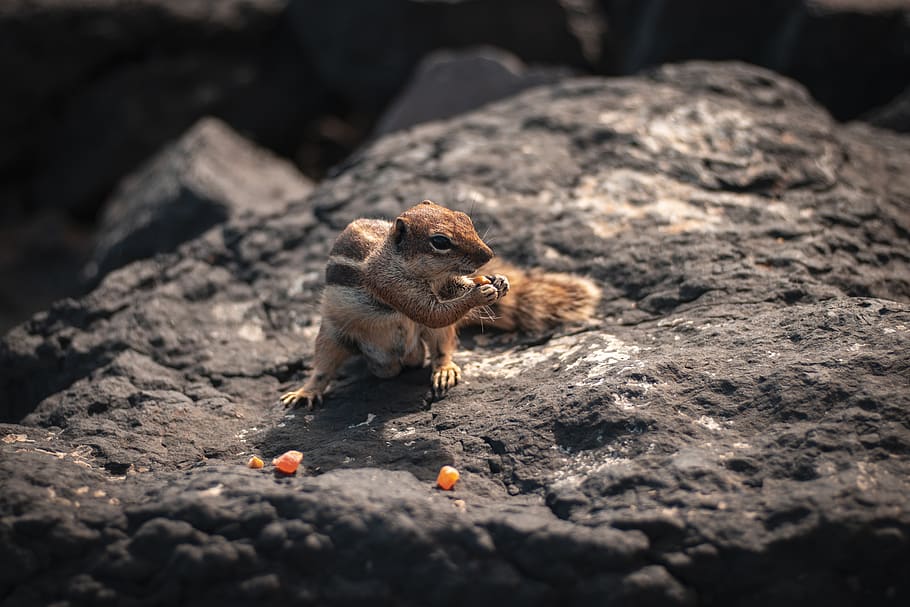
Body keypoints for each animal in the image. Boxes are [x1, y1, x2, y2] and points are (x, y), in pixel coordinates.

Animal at [279, 200, 600, 409]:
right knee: (324, 367)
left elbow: (450, 295)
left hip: (431, 340)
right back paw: (305, 392)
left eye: (465, 218)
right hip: (333, 338)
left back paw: (444, 370)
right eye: (440, 242)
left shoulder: (444, 284)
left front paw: (496, 280)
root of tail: (401, 358)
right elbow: (431, 312)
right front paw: (477, 295)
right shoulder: (391, 285)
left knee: (440, 349)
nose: (489, 255)